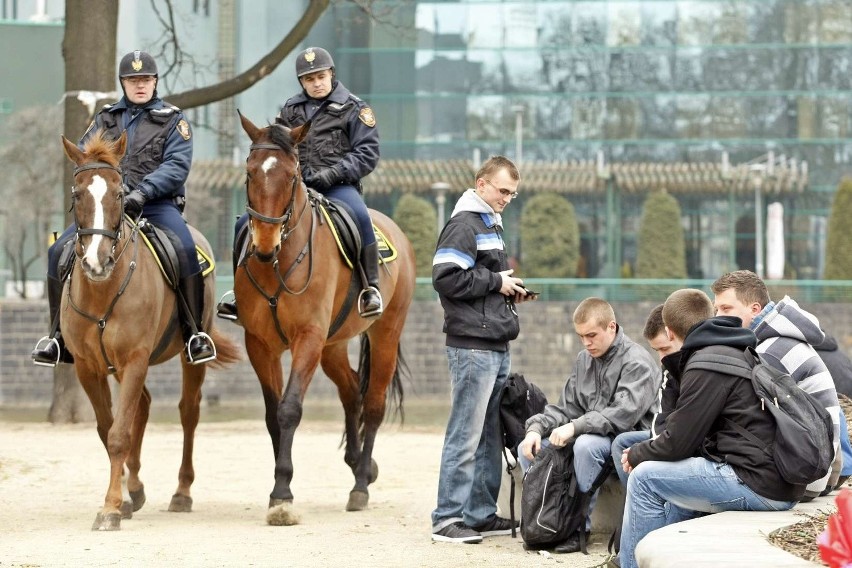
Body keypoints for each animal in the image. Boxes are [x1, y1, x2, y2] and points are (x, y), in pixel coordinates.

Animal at [60, 131, 241, 532]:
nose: (96, 261)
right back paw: (135, 489)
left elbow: (118, 434)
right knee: (141, 408)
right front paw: (125, 498)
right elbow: (108, 429)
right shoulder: (89, 368)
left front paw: (111, 509)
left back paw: (181, 493)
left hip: (188, 358)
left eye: (118, 193)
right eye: (77, 194)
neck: (103, 292)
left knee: (188, 413)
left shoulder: (135, 359)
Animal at [236, 111, 416, 524]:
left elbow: (289, 409)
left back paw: (361, 484)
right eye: (250, 172)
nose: (265, 245)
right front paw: (278, 488)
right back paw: (360, 463)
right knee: (351, 391)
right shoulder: (260, 345)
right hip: (333, 345)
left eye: (292, 175)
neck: (278, 264)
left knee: (374, 405)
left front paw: (282, 493)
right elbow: (272, 415)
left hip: (384, 335)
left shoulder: (308, 338)